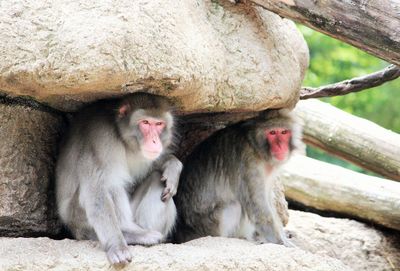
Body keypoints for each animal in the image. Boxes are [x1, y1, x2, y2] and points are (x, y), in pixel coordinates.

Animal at [55, 93, 183, 266]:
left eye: (159, 124)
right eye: (145, 122)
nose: (155, 141)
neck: (120, 135)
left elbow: (152, 166)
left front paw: (172, 166)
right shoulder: (101, 137)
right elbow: (97, 189)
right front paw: (116, 246)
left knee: (158, 179)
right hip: (78, 219)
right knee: (111, 185)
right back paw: (130, 233)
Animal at [173, 108, 302, 246]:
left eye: (283, 132)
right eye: (272, 133)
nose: (280, 146)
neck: (257, 148)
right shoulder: (248, 162)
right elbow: (258, 207)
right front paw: (281, 242)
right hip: (207, 225)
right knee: (234, 205)